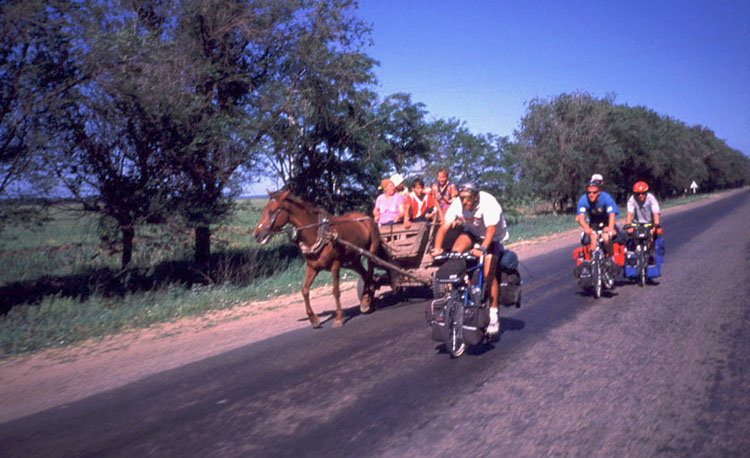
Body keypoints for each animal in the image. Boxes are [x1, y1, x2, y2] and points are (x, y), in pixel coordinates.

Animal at [254, 191, 384, 330]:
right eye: (264, 209)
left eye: (272, 211)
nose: (256, 234)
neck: (319, 233)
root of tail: (367, 218)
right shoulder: (312, 267)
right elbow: (305, 290)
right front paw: (313, 319)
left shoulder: (335, 265)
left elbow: (336, 291)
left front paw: (338, 318)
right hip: (354, 260)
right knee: (365, 276)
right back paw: (366, 301)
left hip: (371, 252)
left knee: (370, 274)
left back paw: (368, 299)